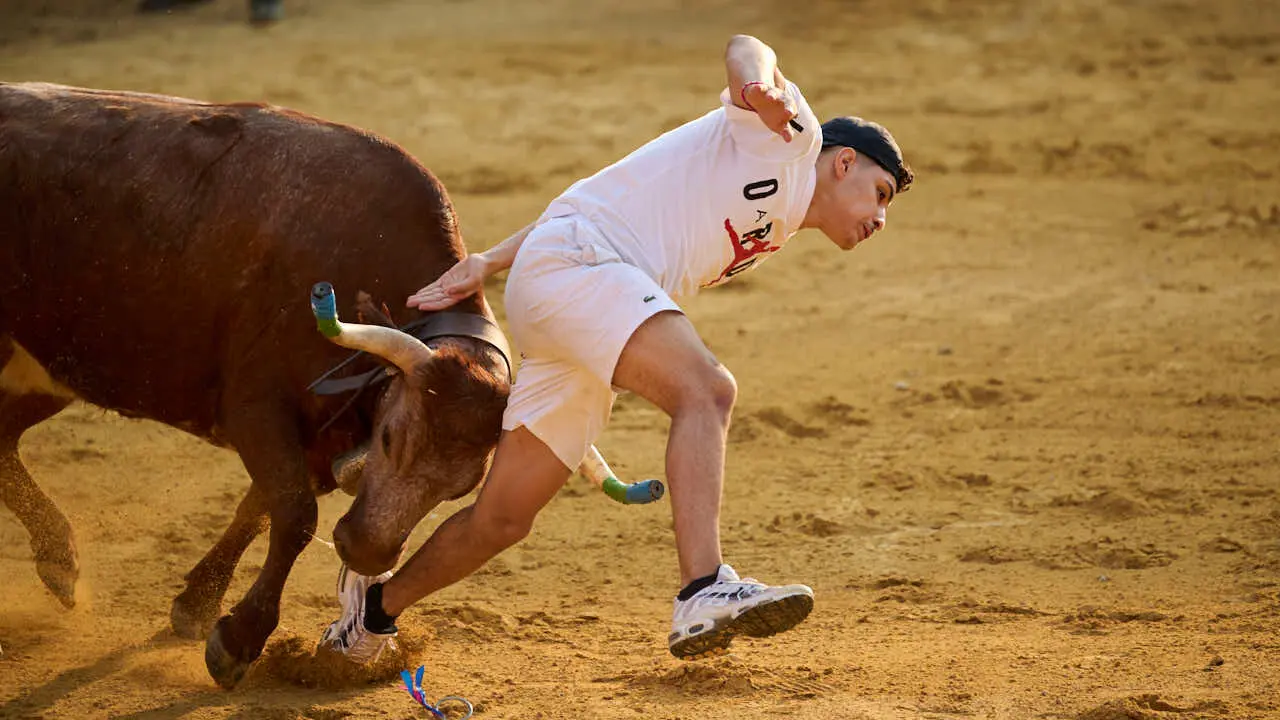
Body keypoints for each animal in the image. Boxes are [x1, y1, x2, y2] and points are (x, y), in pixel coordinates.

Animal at [0, 82, 511, 688]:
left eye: (462, 488)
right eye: (390, 439)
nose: (365, 553)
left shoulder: (315, 440)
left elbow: (258, 510)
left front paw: (198, 605)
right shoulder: (256, 409)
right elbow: (292, 516)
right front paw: (239, 639)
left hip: (45, 373)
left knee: (2, 441)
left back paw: (59, 562)